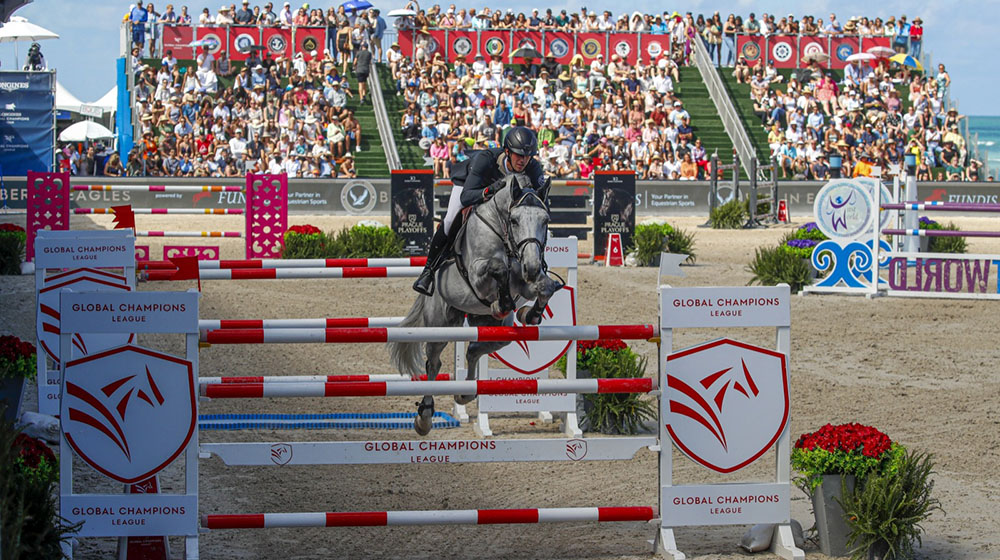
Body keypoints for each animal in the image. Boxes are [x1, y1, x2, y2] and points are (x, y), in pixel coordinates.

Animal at [388, 173, 564, 436]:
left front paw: (530, 313)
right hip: (440, 324)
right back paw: (425, 418)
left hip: (497, 330)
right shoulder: (478, 276)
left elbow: (547, 286)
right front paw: (503, 302)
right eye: (514, 220)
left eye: (546, 220)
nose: (532, 267)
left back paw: (464, 393)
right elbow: (498, 268)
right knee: (434, 363)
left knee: (473, 350)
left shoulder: (524, 284)